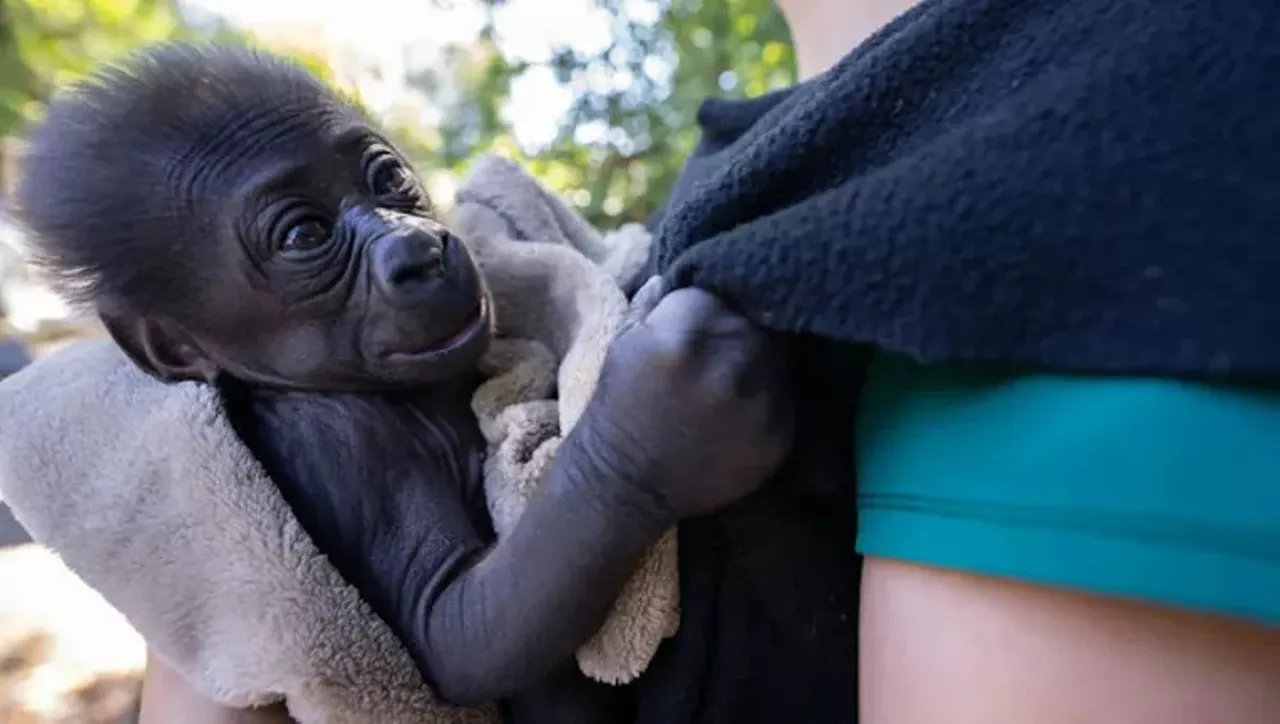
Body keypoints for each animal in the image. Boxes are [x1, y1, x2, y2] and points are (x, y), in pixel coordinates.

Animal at [12, 44, 788, 721]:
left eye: (386, 181)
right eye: (304, 237)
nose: (418, 250)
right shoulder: (334, 440)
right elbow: (454, 632)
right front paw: (661, 420)